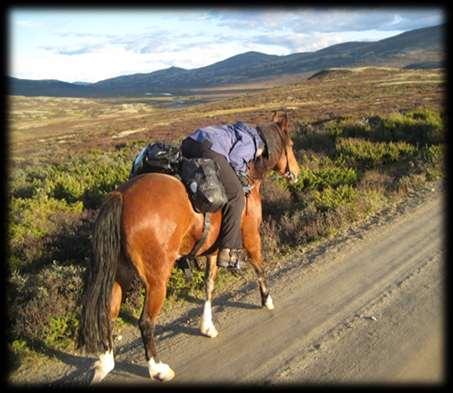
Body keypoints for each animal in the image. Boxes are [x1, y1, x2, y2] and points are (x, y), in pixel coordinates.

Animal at [77, 110, 300, 382]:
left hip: (120, 272)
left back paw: (104, 364)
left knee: (109, 312)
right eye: (291, 145)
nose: (297, 172)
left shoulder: (212, 251)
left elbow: (209, 286)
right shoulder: (251, 237)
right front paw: (267, 300)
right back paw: (158, 369)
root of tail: (122, 196)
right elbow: (259, 267)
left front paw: (207, 327)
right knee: (146, 322)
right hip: (156, 279)